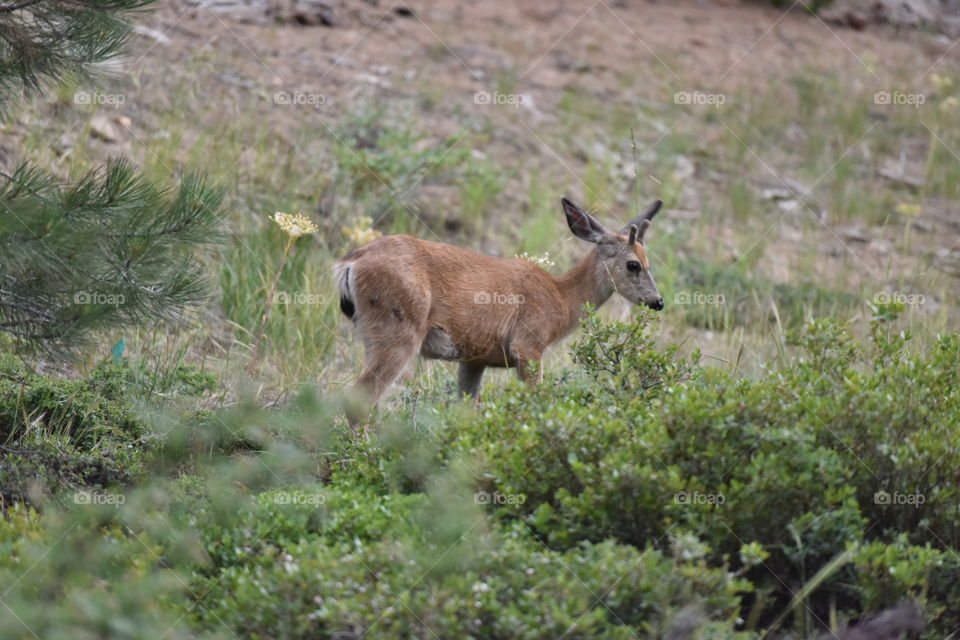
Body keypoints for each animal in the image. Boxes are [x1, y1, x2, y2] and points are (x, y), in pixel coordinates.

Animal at [334, 198, 664, 422]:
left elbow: (467, 410)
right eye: (633, 264)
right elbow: (536, 404)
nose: (657, 301)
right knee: (360, 399)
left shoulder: (474, 358)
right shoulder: (528, 344)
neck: (561, 297)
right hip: (398, 329)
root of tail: (350, 263)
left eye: (650, 262)